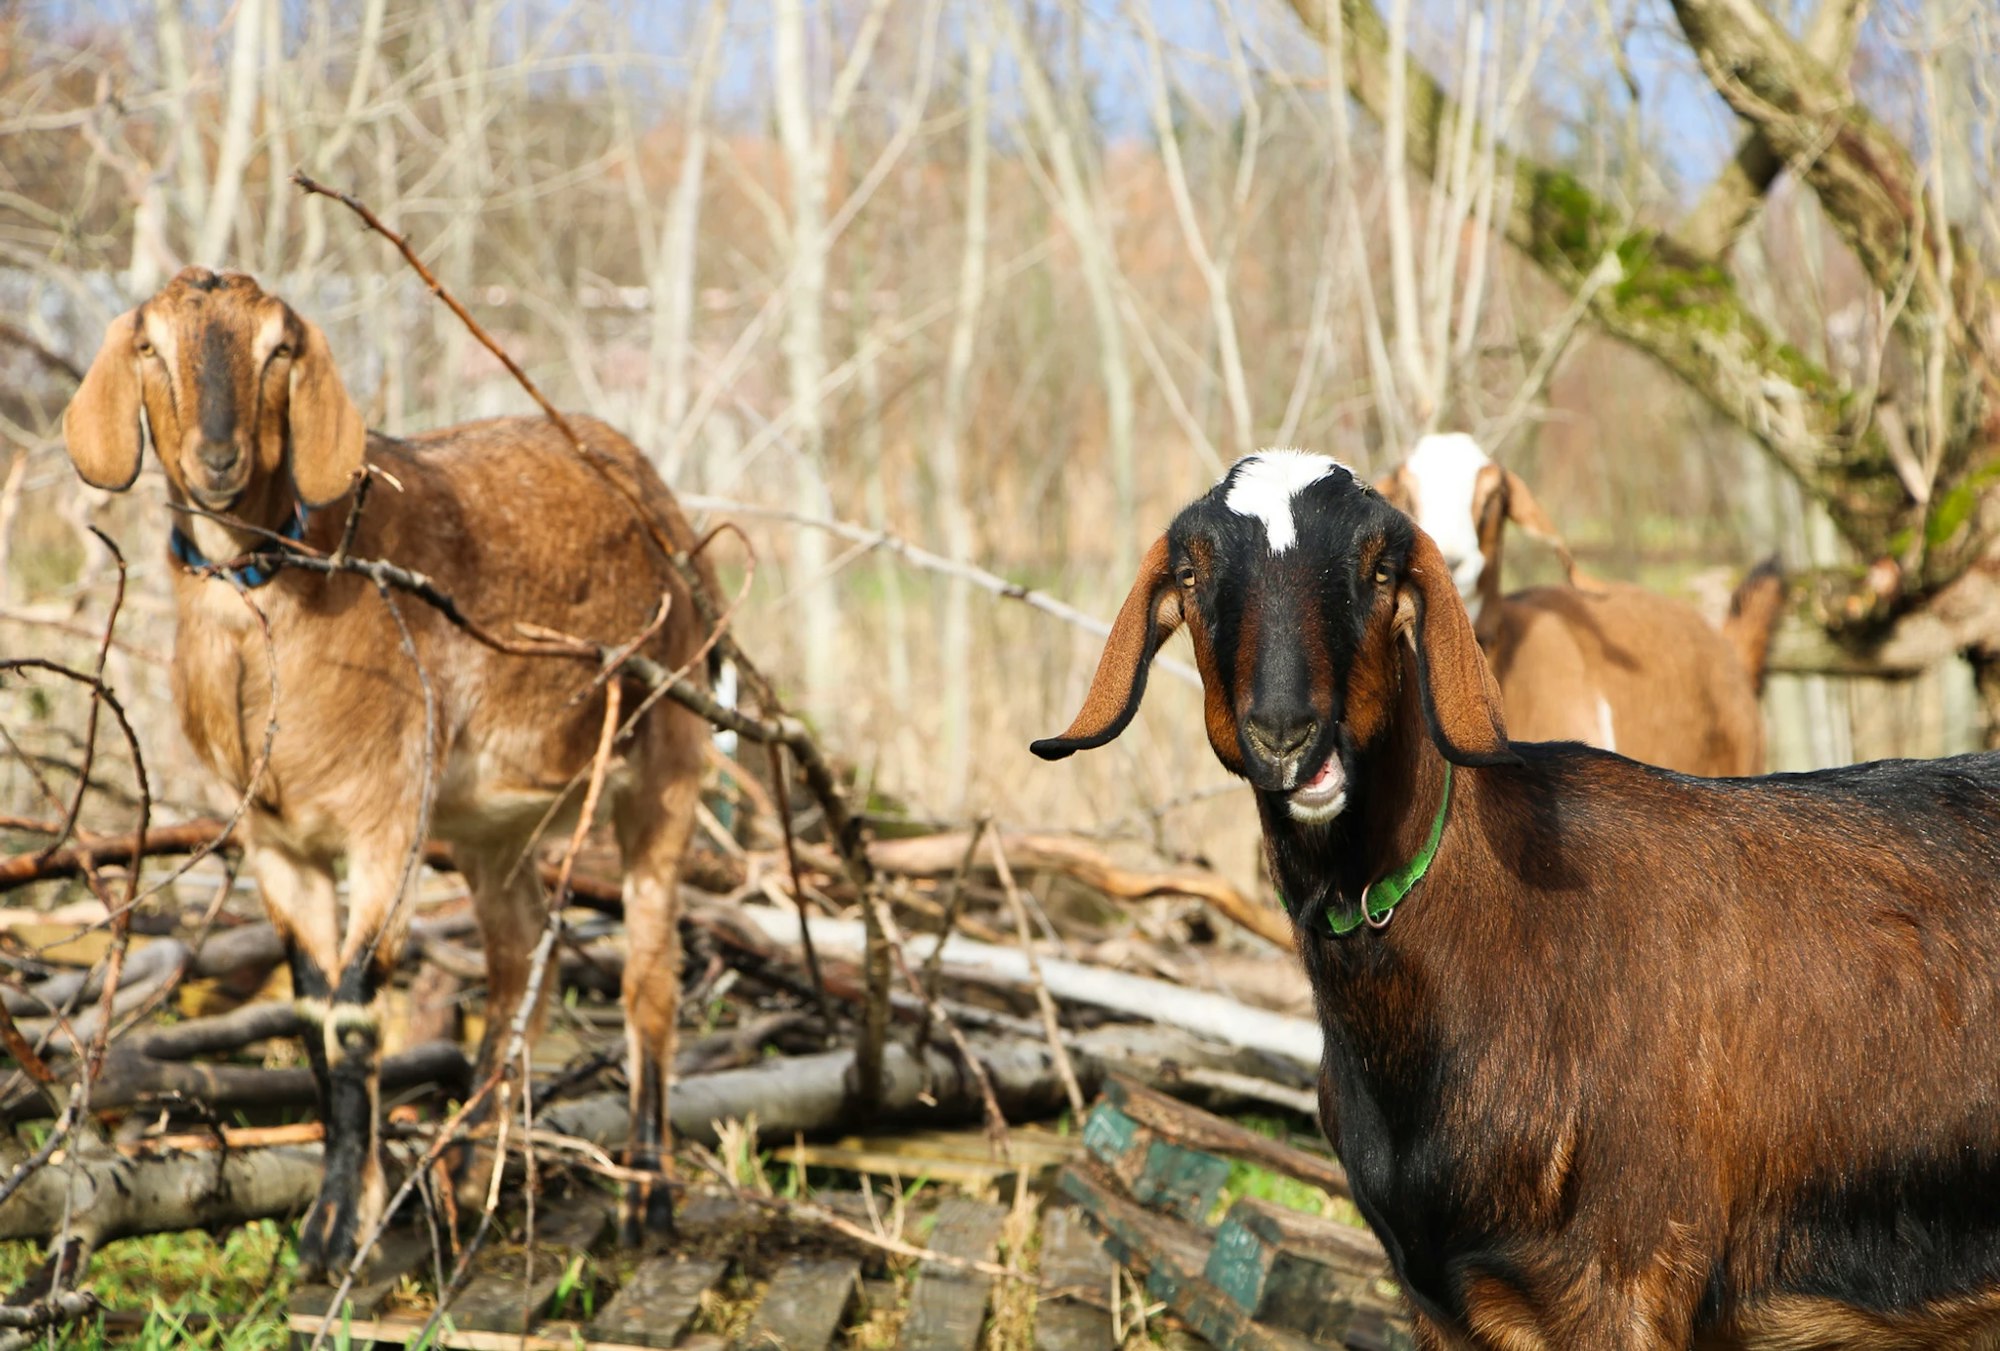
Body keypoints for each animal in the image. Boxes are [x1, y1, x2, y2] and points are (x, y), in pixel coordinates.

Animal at [61, 268, 716, 1274]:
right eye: (149, 348)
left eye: (278, 349)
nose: (218, 459)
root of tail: (640, 474)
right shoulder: (276, 844)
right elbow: (310, 1011)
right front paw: (355, 1202)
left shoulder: (387, 821)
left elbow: (357, 1010)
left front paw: (334, 1227)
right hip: (491, 823)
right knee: (522, 953)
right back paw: (470, 1166)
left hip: (667, 750)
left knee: (650, 972)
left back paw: (647, 1195)